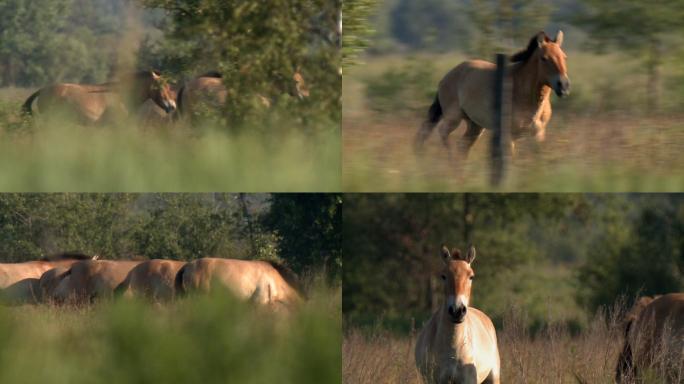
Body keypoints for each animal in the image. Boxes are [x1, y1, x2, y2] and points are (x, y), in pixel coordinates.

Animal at [414, 30, 568, 160]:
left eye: (564, 57)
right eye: (544, 58)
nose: (564, 85)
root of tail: (447, 77)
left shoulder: (538, 134)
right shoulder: (509, 136)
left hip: (475, 126)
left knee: (462, 146)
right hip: (454, 117)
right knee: (443, 132)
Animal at [414, 246, 500, 384]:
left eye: (471, 276)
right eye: (443, 276)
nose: (457, 311)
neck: (453, 347)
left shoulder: (469, 380)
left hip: (493, 377)